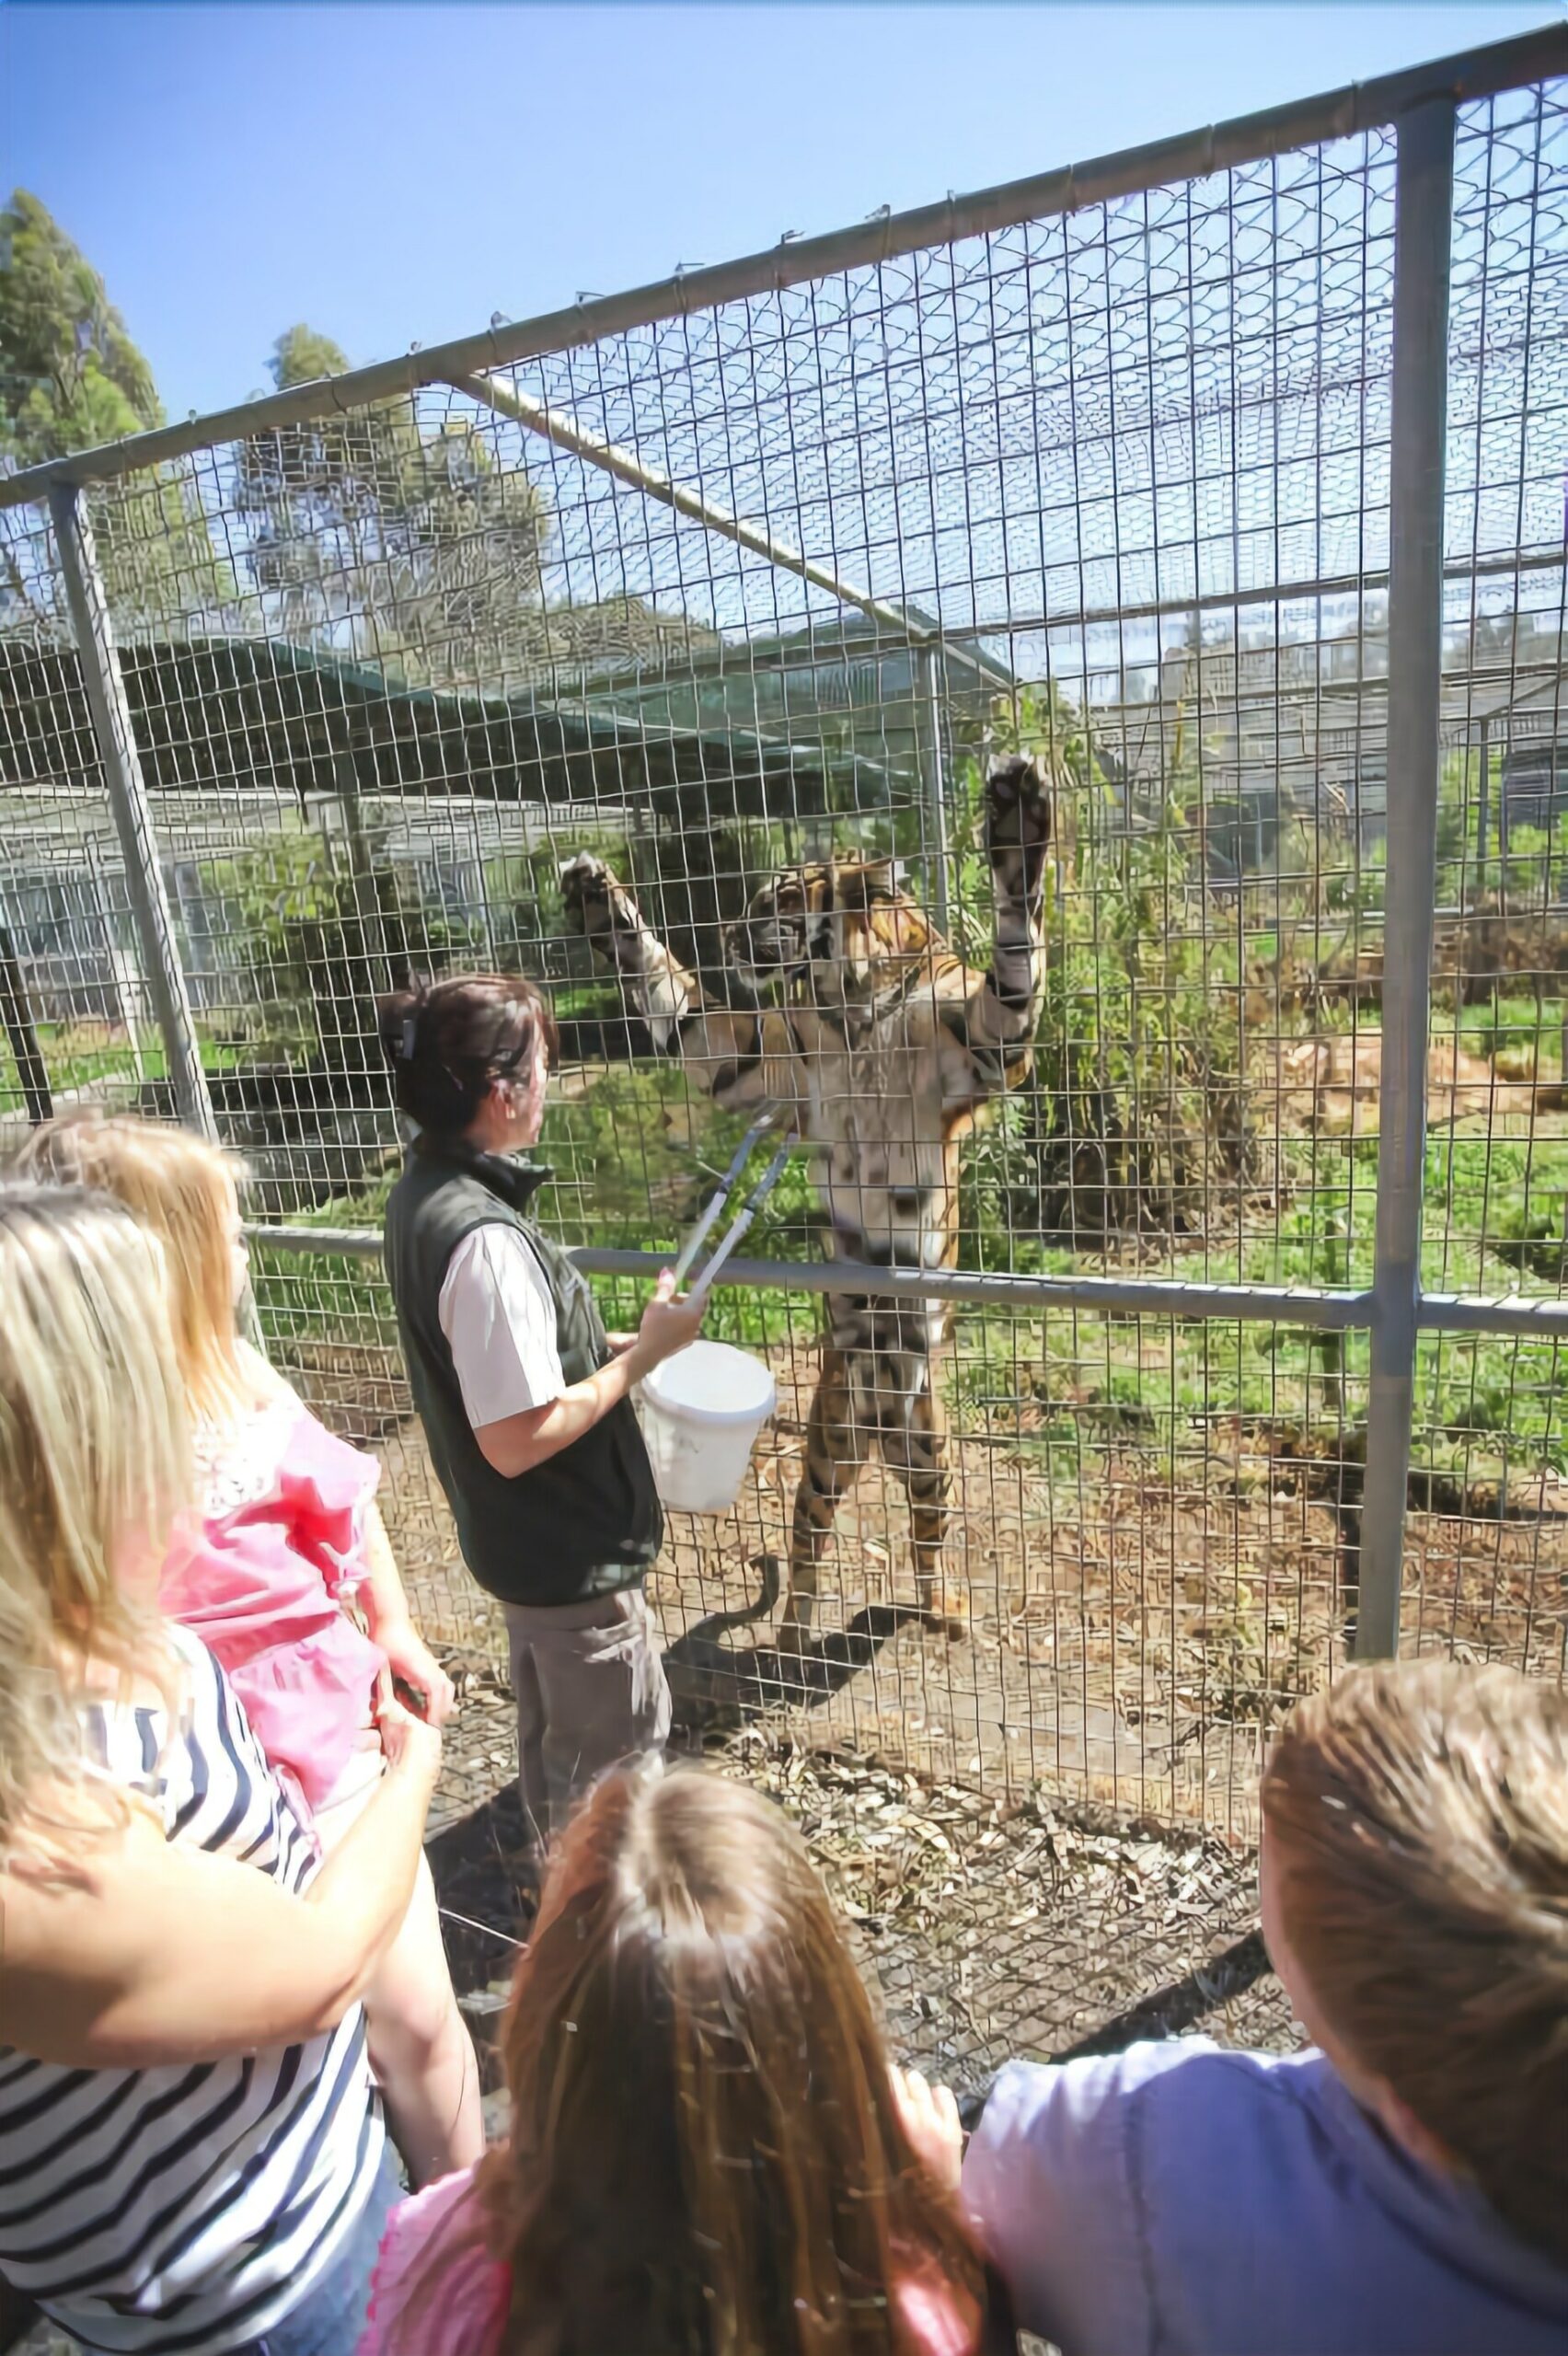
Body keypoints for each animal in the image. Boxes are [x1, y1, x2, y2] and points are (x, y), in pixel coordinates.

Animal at [562, 763, 1050, 1649]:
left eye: (779, 899)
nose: (726, 935)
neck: (849, 1004)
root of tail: (883, 1430)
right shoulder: (753, 1061)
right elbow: (672, 998)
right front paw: (596, 899)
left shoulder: (985, 1043)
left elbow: (1016, 955)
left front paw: (1019, 825)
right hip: (826, 1445)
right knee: (810, 1540)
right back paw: (793, 1634)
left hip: (934, 1448)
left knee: (927, 1536)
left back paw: (944, 1610)